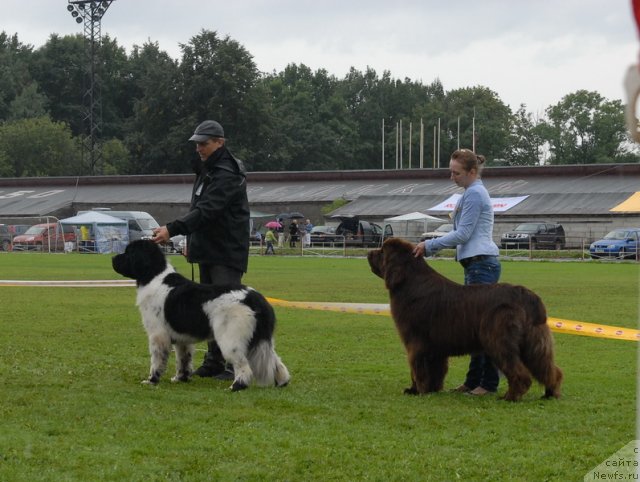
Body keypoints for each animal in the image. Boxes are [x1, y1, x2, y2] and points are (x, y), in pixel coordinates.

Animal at [112, 239, 290, 390]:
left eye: (128, 252)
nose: (113, 258)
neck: (153, 275)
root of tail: (255, 298)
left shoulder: (158, 335)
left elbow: (157, 361)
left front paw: (152, 381)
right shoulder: (182, 339)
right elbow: (183, 359)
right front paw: (181, 378)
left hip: (230, 339)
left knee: (243, 365)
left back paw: (236, 386)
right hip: (260, 338)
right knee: (274, 360)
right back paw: (282, 381)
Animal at [368, 238, 564, 402]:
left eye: (382, 251)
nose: (369, 252)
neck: (408, 282)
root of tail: (526, 295)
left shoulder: (416, 342)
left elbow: (417, 369)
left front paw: (417, 391)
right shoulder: (435, 348)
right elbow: (436, 370)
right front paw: (432, 389)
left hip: (498, 341)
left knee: (520, 373)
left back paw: (510, 397)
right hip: (534, 343)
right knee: (549, 369)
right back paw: (550, 393)